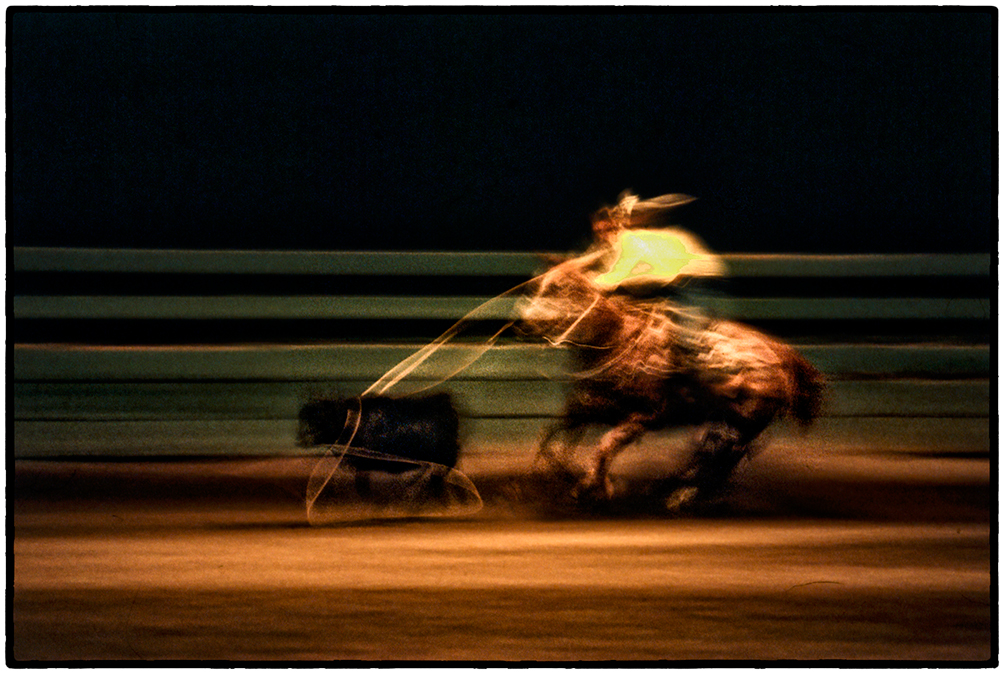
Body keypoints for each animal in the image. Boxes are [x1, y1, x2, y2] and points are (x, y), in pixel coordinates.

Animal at [518, 259, 823, 512]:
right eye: (539, 285)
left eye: (559, 288)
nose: (523, 324)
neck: (617, 338)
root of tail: (781, 353)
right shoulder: (587, 407)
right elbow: (550, 435)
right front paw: (563, 472)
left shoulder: (643, 416)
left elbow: (604, 446)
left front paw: (597, 486)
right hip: (731, 425)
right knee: (713, 457)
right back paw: (668, 489)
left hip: (742, 424)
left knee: (721, 461)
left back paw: (680, 495)